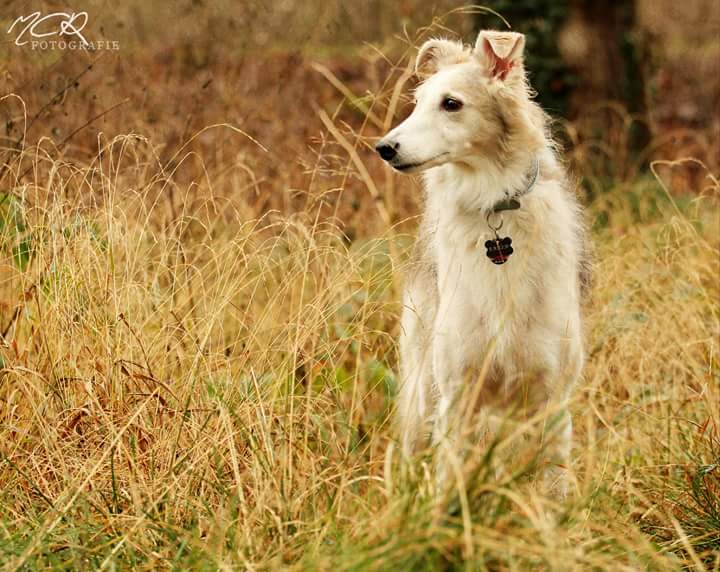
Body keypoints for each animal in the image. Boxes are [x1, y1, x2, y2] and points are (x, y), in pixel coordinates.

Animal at [376, 30, 592, 496]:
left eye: (451, 103)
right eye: (418, 102)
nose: (383, 148)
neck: (495, 207)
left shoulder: (552, 401)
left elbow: (552, 491)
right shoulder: (456, 396)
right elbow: (447, 485)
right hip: (421, 387)